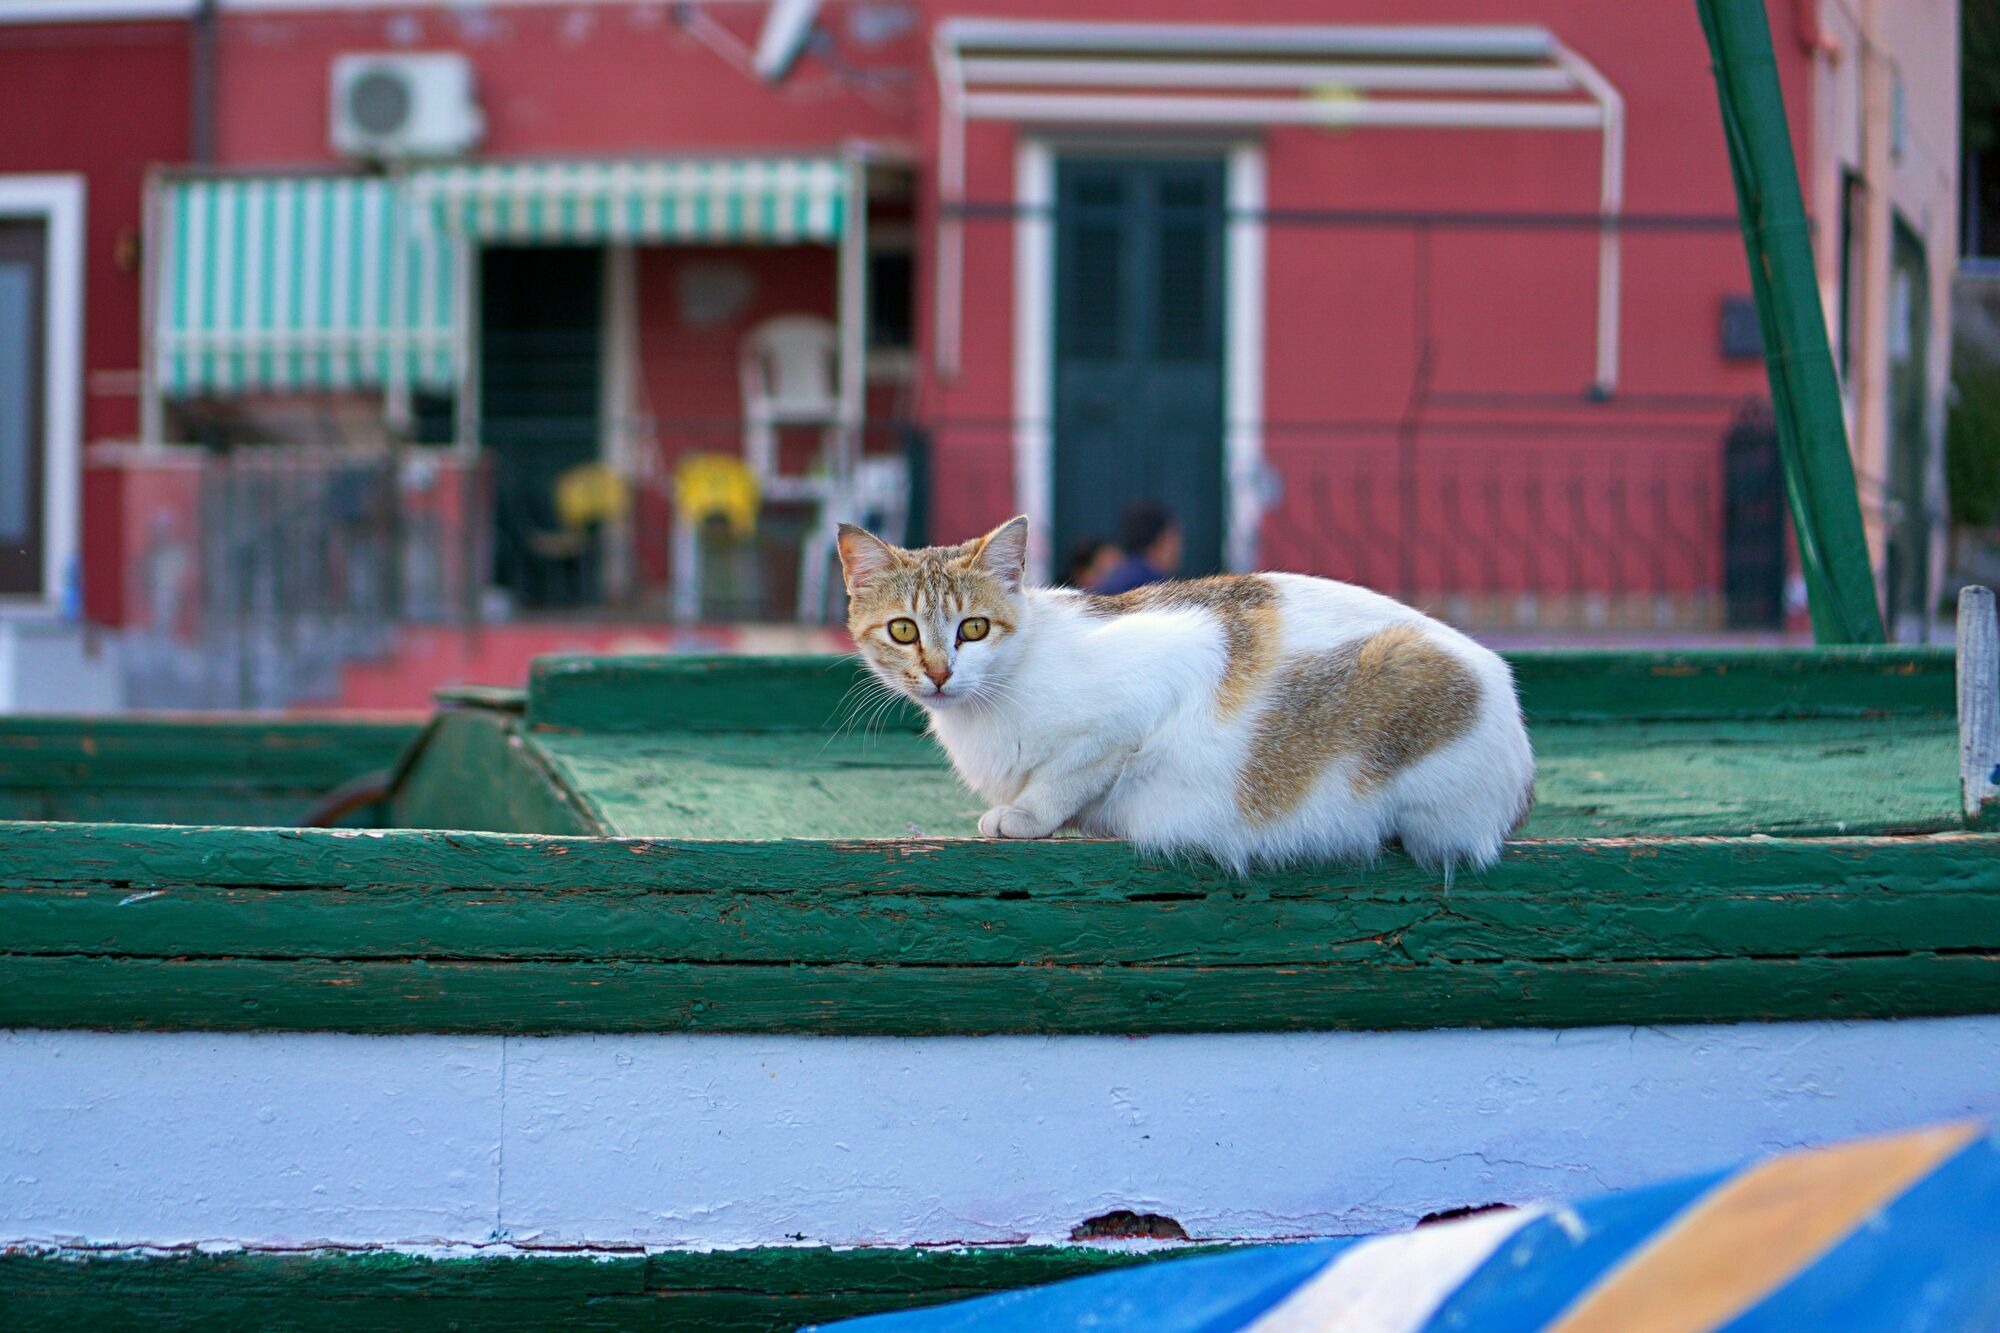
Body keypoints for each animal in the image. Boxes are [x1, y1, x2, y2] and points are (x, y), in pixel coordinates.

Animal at [836, 516, 1536, 872]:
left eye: (974, 629)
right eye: (904, 630)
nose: (939, 673)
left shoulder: (1155, 680)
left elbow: (1075, 770)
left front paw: (1028, 815)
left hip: (1409, 671)